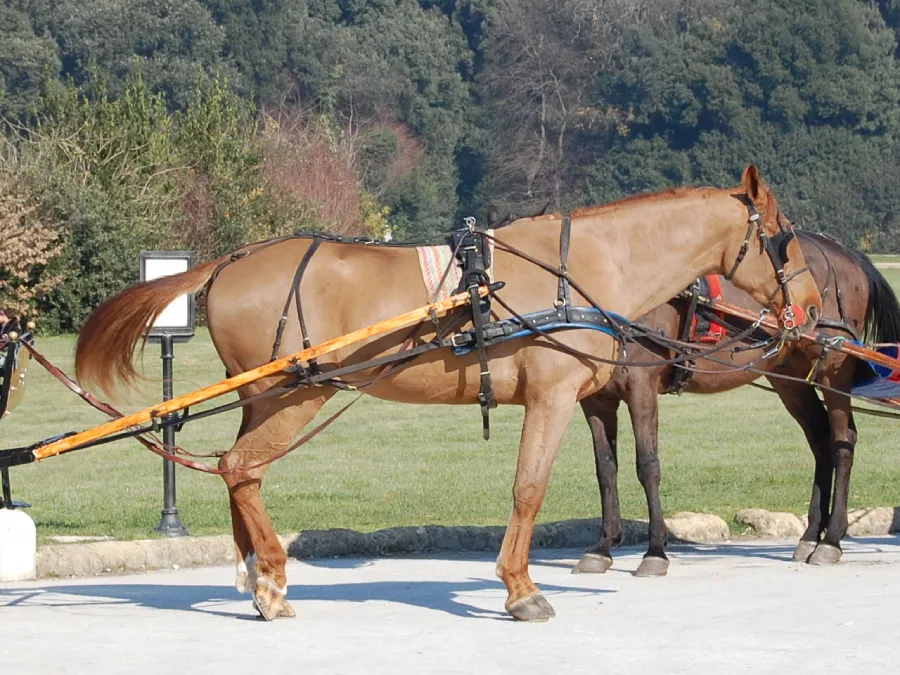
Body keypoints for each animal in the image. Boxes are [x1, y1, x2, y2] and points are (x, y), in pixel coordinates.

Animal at [75, 168, 824, 624]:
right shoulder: (553, 398)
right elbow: (530, 488)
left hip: (269, 397)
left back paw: (259, 578)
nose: (816, 306)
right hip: (292, 397)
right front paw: (521, 588)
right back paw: (271, 578)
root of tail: (231, 259)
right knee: (240, 468)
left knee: (241, 472)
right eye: (783, 239)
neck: (581, 268)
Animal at [572, 231, 900, 576]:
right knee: (820, 440)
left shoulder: (642, 387)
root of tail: (843, 252)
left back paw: (832, 539)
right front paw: (603, 546)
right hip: (790, 378)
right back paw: (812, 535)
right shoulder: (597, 401)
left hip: (833, 368)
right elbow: (605, 469)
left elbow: (648, 465)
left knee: (842, 441)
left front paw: (656, 551)